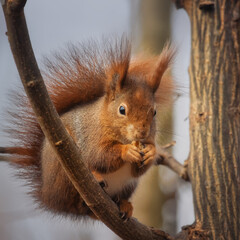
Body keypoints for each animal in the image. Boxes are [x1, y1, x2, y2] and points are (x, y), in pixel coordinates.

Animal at [0, 38, 174, 220]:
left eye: (154, 112)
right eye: (122, 110)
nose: (142, 132)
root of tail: (48, 195)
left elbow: (138, 171)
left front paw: (151, 152)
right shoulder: (91, 135)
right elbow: (100, 156)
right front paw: (126, 151)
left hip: (127, 186)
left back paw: (124, 205)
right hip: (64, 166)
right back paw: (95, 181)